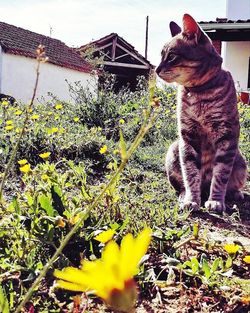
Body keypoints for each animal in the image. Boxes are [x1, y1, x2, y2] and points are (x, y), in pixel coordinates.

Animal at [155, 12, 247, 212]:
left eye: (171, 56)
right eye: (161, 55)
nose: (156, 69)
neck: (199, 93)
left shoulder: (227, 136)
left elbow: (220, 175)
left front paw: (216, 200)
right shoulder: (188, 137)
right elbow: (190, 174)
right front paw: (191, 199)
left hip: (240, 160)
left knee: (231, 184)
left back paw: (235, 194)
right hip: (174, 150)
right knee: (182, 184)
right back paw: (184, 196)